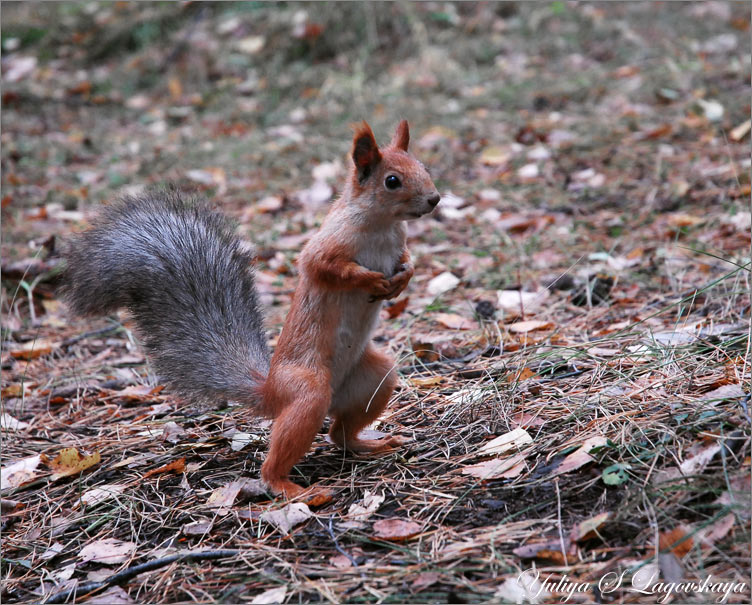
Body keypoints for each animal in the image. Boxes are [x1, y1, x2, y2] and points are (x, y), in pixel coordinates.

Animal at [63, 120, 440, 499]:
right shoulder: (327, 245)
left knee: (340, 434)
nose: (434, 199)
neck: (383, 225)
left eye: (423, 166)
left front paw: (404, 277)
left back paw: (372, 445)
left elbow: (407, 260)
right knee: (281, 457)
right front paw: (372, 281)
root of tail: (272, 391)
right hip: (306, 392)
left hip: (375, 379)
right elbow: (323, 267)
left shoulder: (398, 244)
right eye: (392, 180)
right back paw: (290, 487)